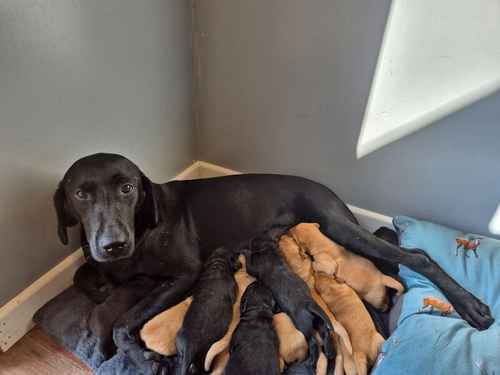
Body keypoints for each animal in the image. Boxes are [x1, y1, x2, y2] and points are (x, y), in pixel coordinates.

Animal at [53, 153, 492, 374]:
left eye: (127, 188)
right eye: (80, 194)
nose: (112, 244)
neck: (142, 226)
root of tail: (330, 192)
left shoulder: (185, 273)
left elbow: (124, 323)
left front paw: (140, 356)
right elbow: (82, 274)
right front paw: (102, 291)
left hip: (338, 227)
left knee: (417, 258)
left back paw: (471, 306)